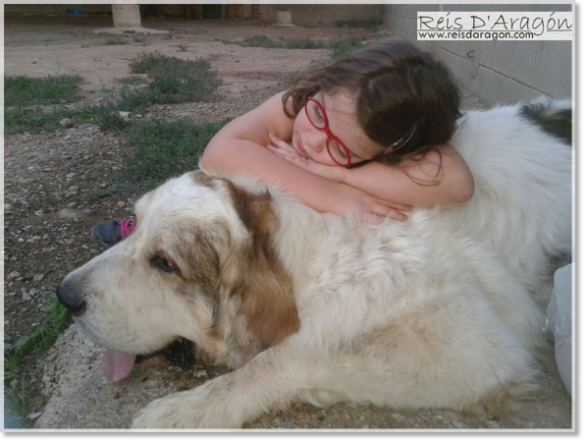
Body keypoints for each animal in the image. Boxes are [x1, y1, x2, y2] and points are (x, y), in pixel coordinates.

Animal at [59, 99, 572, 428]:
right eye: (134, 224)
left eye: (165, 263)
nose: (64, 296)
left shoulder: (478, 348)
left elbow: (291, 357)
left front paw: (190, 410)